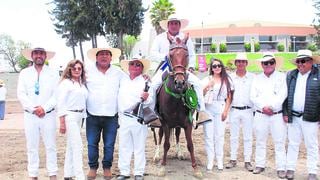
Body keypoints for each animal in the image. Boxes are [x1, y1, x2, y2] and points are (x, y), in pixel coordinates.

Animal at [156, 33, 202, 178]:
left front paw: (196, 168)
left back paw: (179, 153)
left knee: (176, 134)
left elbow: (190, 144)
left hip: (177, 123)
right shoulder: (165, 122)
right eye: (170, 55)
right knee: (160, 136)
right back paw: (157, 155)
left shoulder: (187, 122)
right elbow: (166, 144)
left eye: (186, 54)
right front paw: (162, 167)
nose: (180, 82)